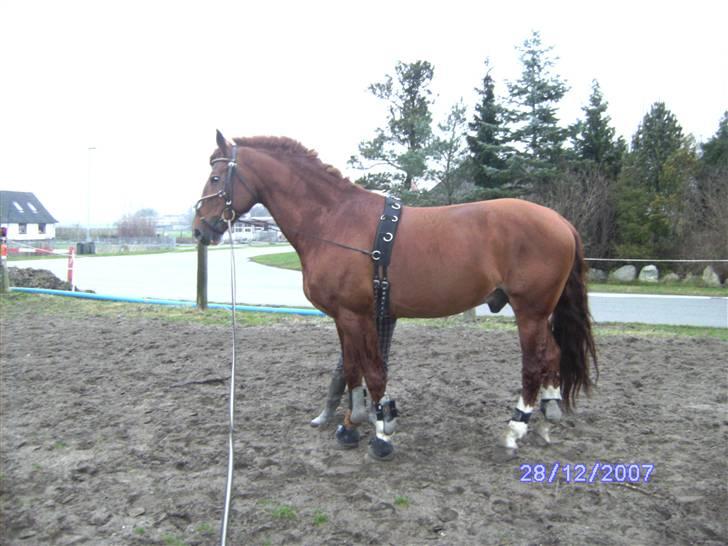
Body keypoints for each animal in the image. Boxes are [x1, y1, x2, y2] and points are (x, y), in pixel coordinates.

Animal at [193, 131, 596, 460]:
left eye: (215, 177)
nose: (199, 229)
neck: (334, 220)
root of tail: (561, 221)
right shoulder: (347, 318)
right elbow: (352, 369)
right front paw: (353, 424)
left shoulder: (357, 315)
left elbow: (372, 371)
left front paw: (381, 434)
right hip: (539, 315)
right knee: (552, 355)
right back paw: (545, 419)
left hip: (529, 313)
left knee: (534, 363)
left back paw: (515, 430)